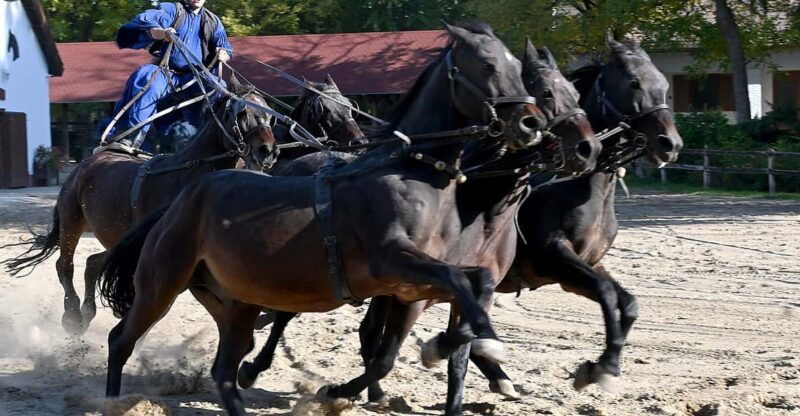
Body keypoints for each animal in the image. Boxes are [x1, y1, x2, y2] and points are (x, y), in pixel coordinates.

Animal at [1, 75, 278, 334]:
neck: (187, 175)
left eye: (269, 115)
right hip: (72, 221)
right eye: (242, 113)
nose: (268, 151)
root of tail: (83, 165)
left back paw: (87, 312)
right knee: (65, 266)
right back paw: (72, 314)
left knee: (93, 264)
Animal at [96, 21, 547, 415]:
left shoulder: (413, 283)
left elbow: (469, 286)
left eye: (516, 67)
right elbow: (433, 302)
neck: (407, 174)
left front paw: (468, 344)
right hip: (161, 283)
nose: (531, 123)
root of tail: (180, 203)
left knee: (225, 368)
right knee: (121, 340)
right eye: (487, 66)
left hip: (234, 301)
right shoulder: (395, 263)